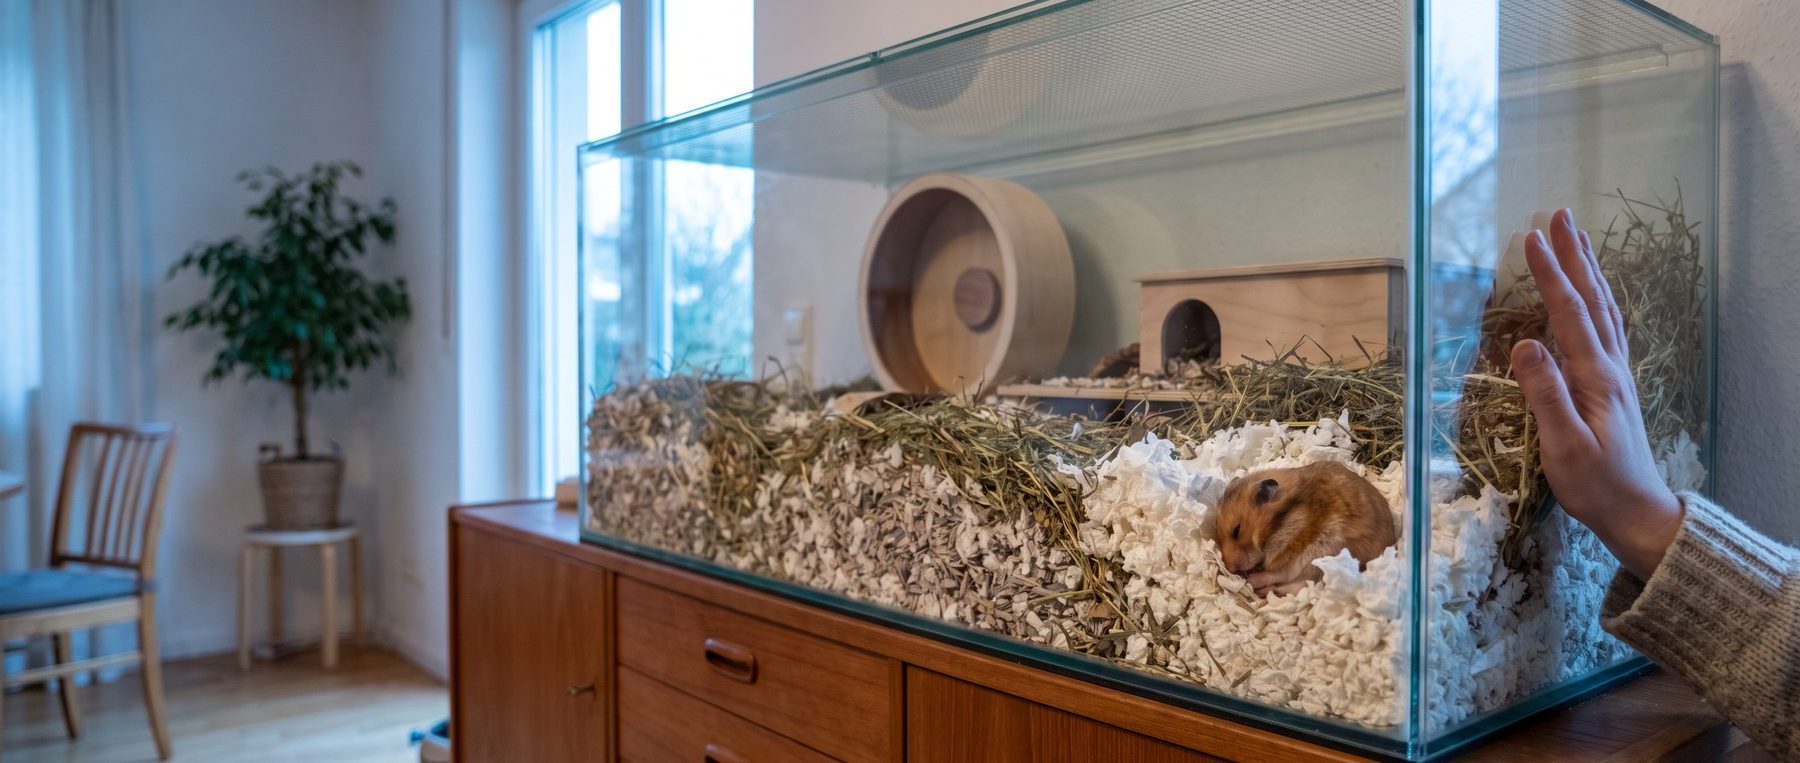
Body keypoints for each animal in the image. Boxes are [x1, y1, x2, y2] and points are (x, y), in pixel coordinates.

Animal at [1213, 461, 1397, 597]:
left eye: (1236, 531)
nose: (1229, 568)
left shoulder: (1290, 549)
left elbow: (1280, 573)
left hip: (1323, 553)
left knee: (1294, 582)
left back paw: (1257, 585)